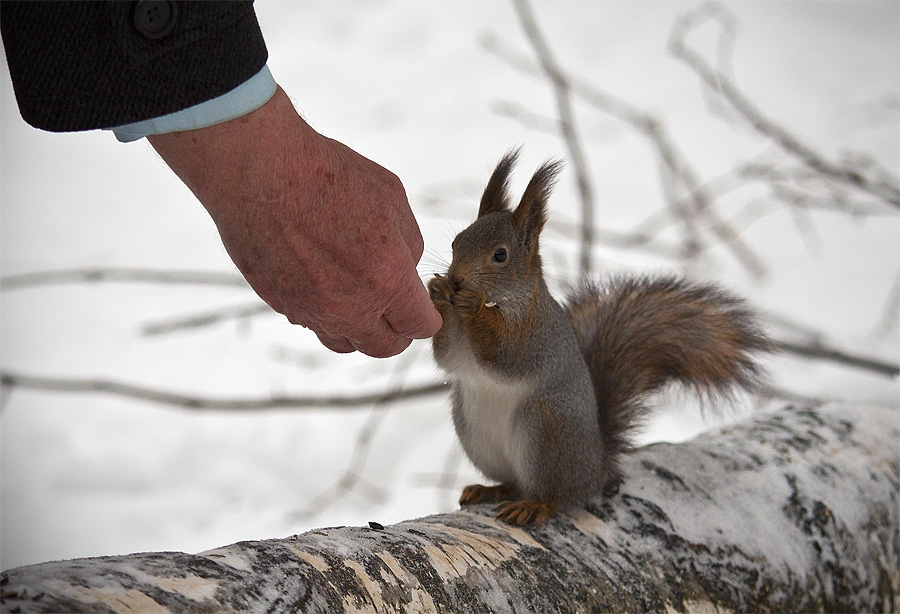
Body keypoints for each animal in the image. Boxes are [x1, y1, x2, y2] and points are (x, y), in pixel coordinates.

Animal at [426, 152, 768, 528]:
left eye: (499, 255)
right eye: (456, 242)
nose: (456, 279)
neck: (503, 301)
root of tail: (597, 467)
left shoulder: (535, 336)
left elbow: (504, 358)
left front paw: (472, 305)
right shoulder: (460, 351)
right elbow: (448, 357)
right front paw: (437, 292)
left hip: (547, 432)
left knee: (556, 493)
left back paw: (535, 505)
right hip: (475, 432)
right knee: (514, 482)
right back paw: (490, 489)